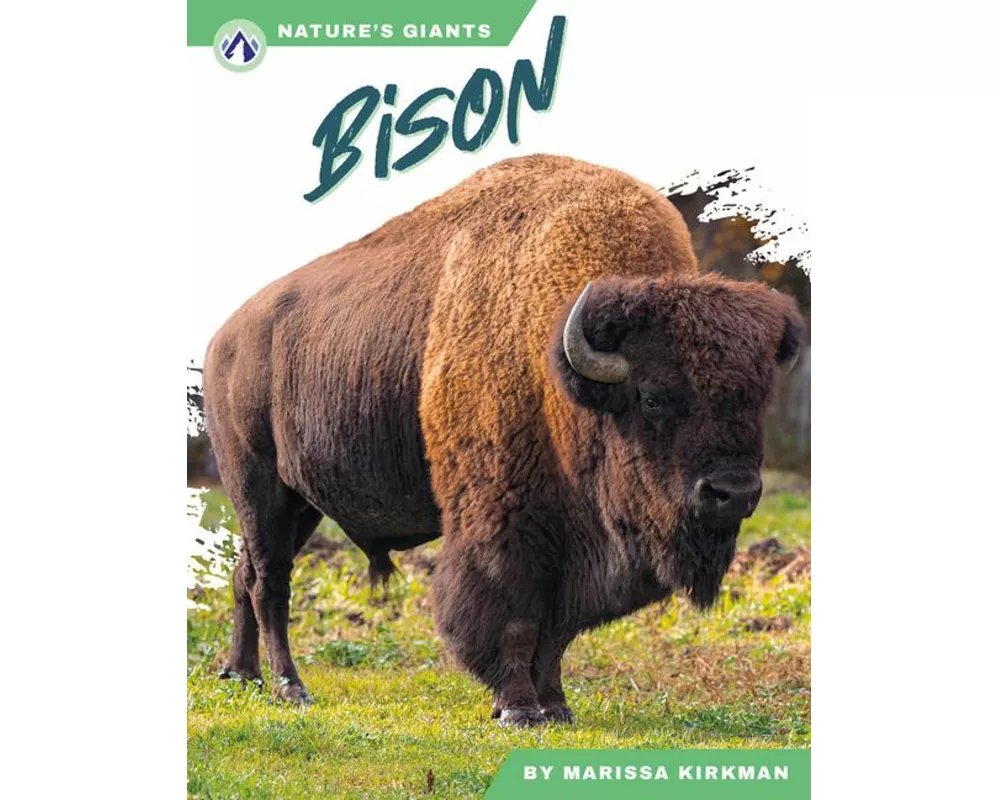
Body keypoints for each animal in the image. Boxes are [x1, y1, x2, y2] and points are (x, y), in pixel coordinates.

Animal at [203, 154, 804, 726]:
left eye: (756, 398)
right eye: (653, 397)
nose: (733, 493)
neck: (556, 367)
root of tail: (223, 339)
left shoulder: (571, 547)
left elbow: (557, 631)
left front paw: (555, 705)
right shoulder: (504, 525)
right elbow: (514, 618)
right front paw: (517, 709)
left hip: (300, 503)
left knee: (244, 574)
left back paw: (241, 674)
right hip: (258, 485)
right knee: (270, 583)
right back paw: (291, 687)